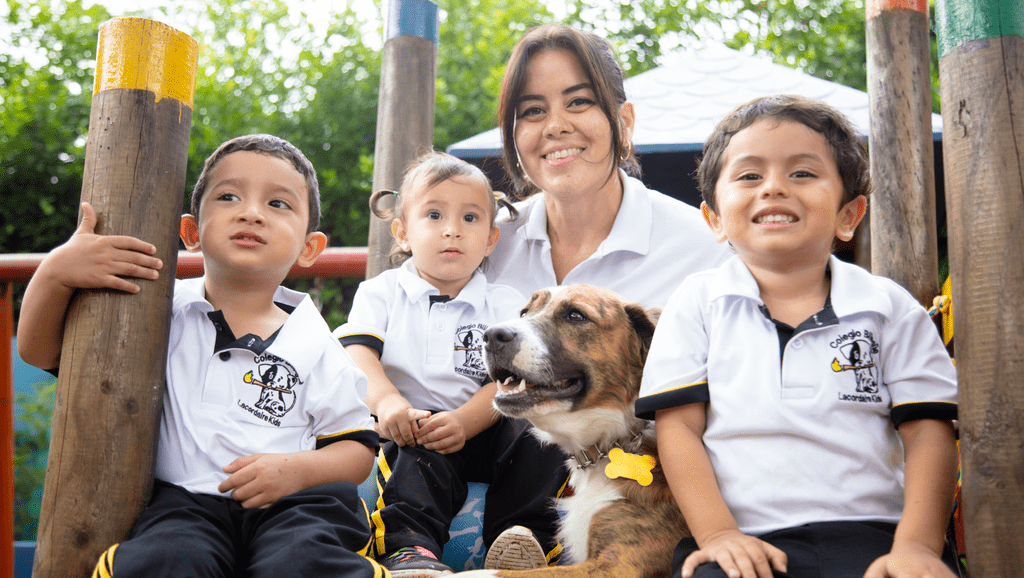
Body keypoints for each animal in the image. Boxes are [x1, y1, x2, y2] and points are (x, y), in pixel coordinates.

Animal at [460, 284, 692, 578]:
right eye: (525, 312)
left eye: (575, 315)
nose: (490, 336)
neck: (615, 441)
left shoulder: (616, 566)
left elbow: (495, 573)